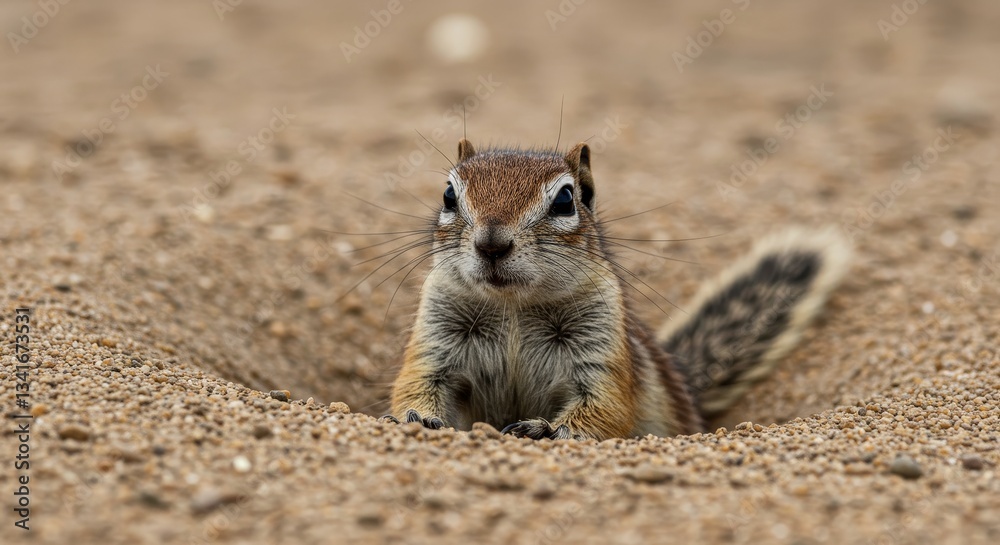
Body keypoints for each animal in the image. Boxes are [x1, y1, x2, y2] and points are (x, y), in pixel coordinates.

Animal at [380, 139, 850, 440]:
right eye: (448, 194)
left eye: (565, 200)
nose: (492, 244)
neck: (512, 306)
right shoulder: (437, 339)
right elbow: (418, 382)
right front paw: (417, 419)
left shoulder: (602, 353)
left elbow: (603, 406)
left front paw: (546, 429)